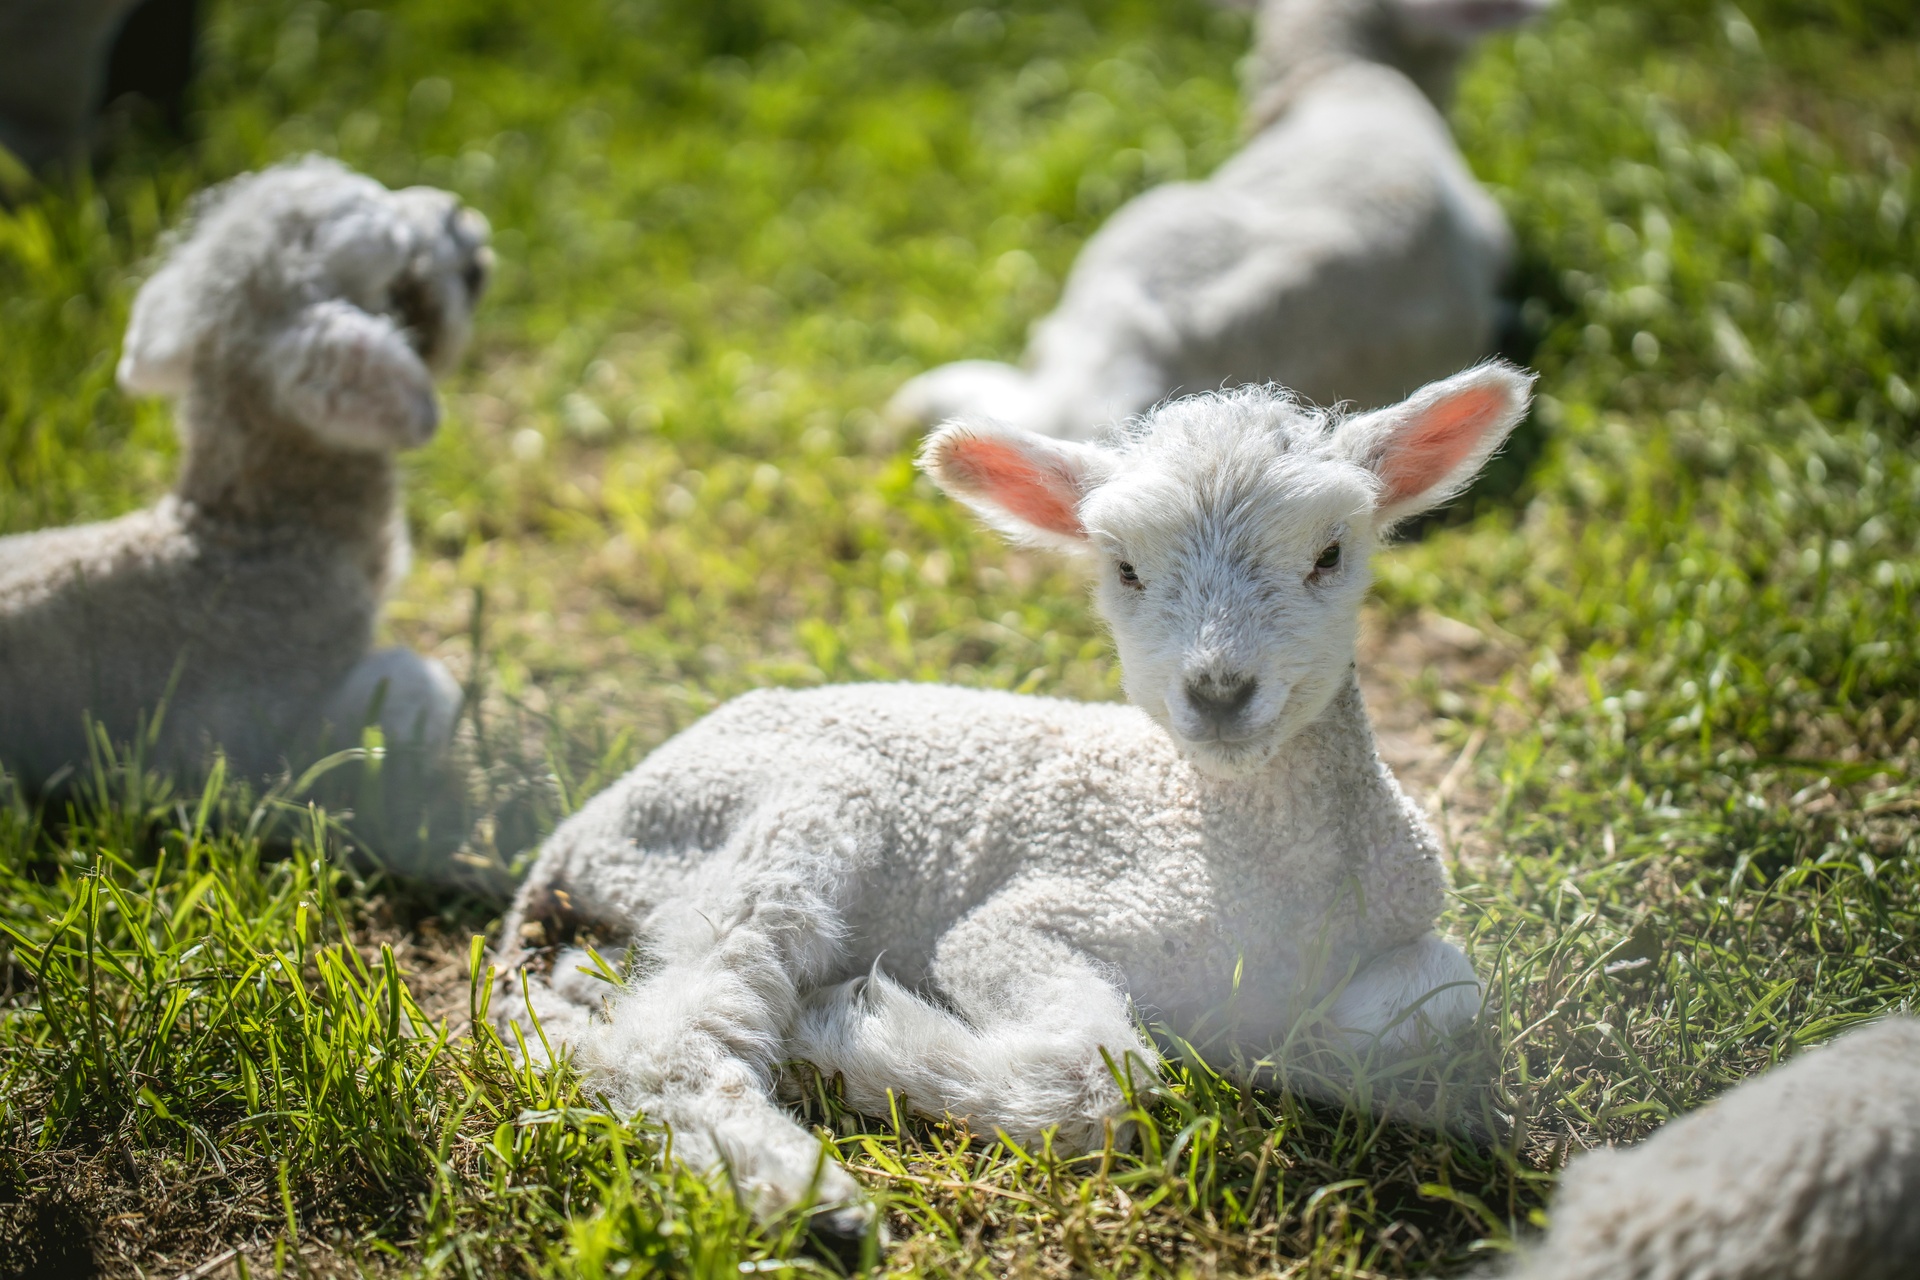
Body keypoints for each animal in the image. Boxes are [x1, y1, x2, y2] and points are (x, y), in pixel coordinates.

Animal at [499, 360, 1543, 1243]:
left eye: (1330, 553)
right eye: (1124, 569)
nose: (1218, 691)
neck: (1238, 855)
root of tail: (574, 836)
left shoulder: (1411, 924)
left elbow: (1440, 1000)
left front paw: (1296, 1042)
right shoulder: (1033, 918)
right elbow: (1098, 1078)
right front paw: (857, 1036)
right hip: (778, 815)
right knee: (670, 1037)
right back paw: (808, 1195)